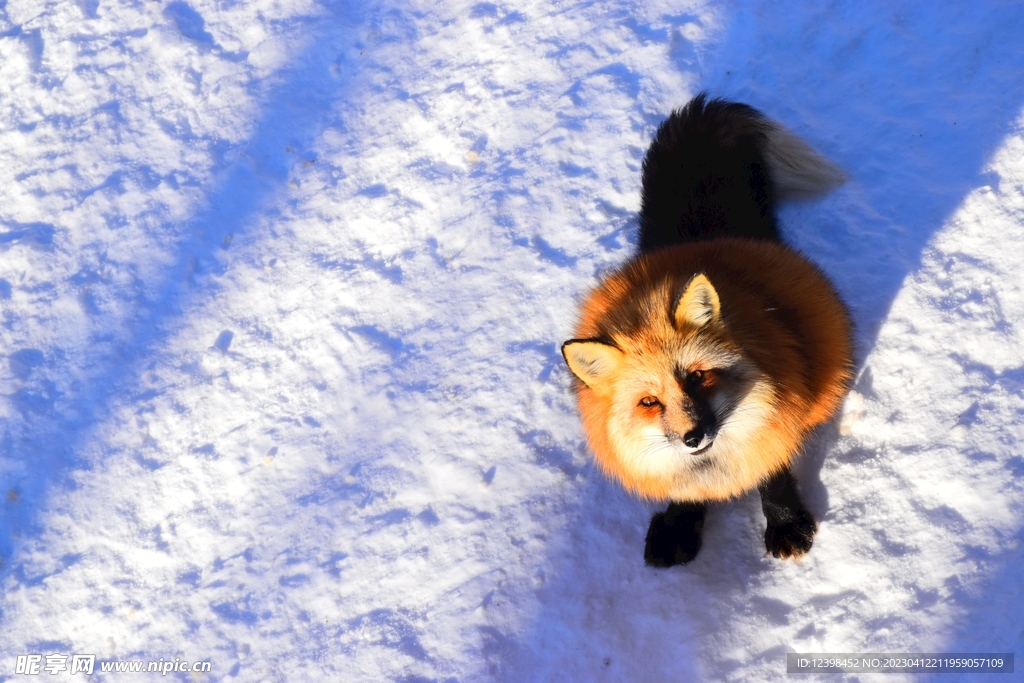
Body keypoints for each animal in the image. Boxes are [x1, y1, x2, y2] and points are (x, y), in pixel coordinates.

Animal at [561, 94, 856, 565]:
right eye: (648, 402)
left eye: (698, 376)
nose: (693, 437)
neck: (713, 461)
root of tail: (699, 239)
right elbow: (684, 491)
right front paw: (679, 526)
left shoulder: (779, 414)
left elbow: (773, 472)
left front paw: (786, 523)